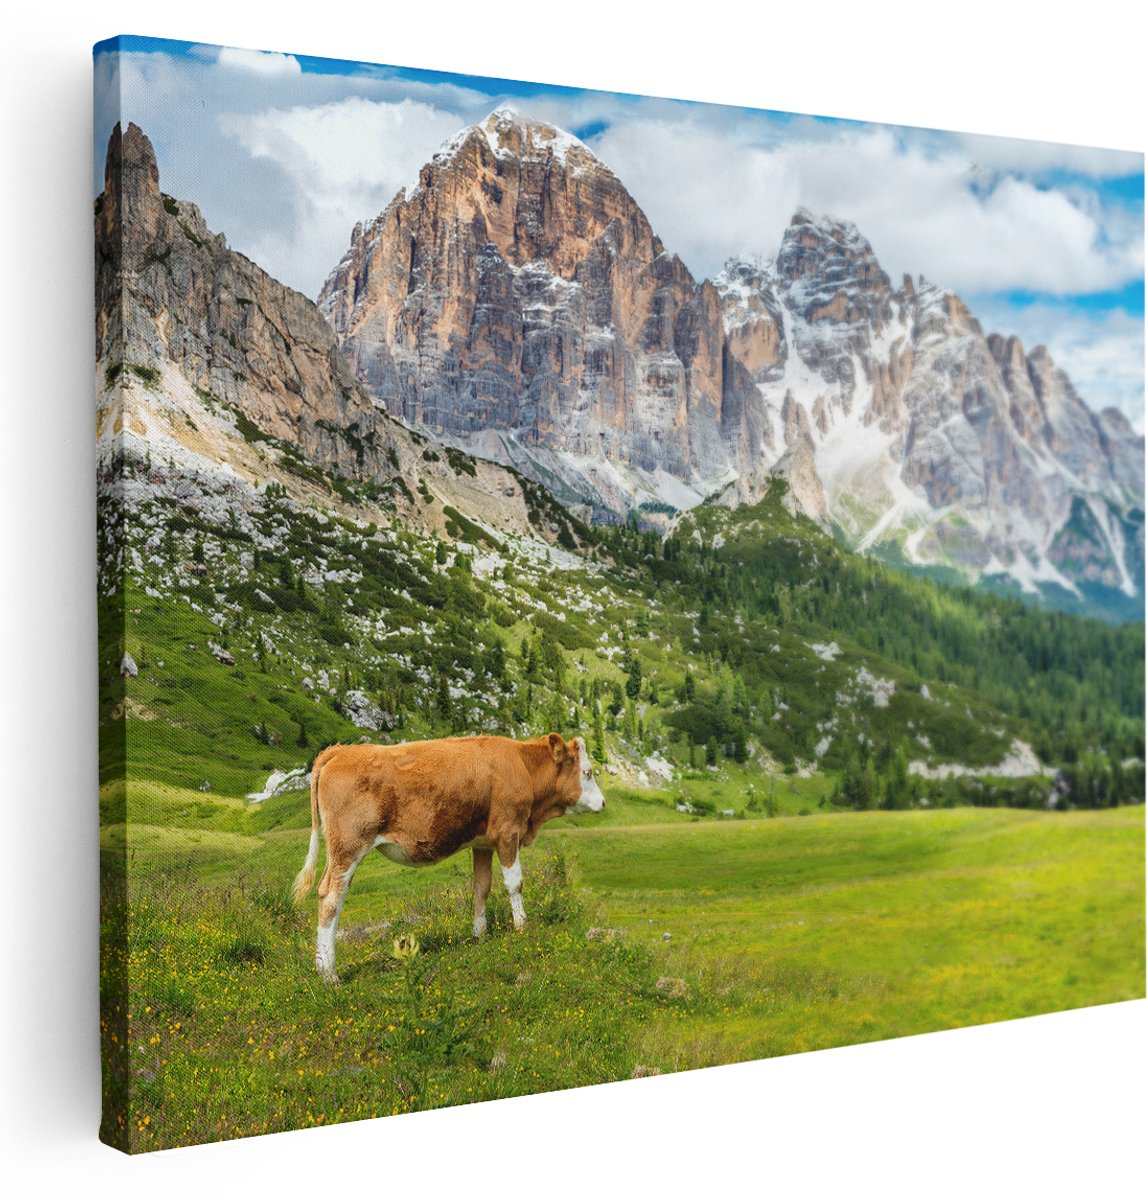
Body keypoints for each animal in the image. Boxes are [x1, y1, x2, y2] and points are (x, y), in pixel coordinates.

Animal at [292, 733, 606, 982]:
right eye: (588, 772)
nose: (603, 802)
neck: (522, 766)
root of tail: (340, 751)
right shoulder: (507, 832)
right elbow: (514, 884)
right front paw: (522, 927)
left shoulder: (483, 842)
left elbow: (482, 886)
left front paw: (480, 934)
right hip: (348, 845)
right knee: (331, 897)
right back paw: (329, 973)